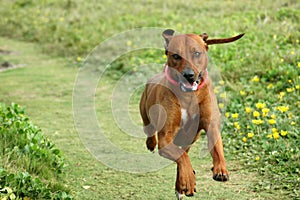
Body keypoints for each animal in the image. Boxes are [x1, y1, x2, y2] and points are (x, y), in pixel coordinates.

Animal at [139, 29, 244, 198]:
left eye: (197, 53)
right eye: (176, 56)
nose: (188, 75)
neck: (188, 95)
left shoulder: (211, 125)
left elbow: (217, 149)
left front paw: (220, 169)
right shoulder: (166, 138)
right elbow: (182, 157)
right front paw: (188, 180)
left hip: (191, 138)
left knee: (184, 152)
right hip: (145, 110)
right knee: (150, 129)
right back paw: (151, 144)